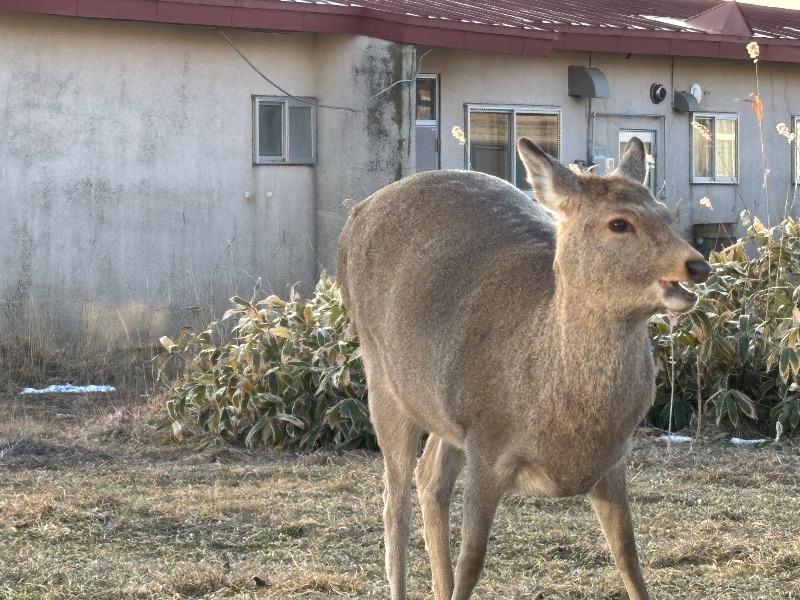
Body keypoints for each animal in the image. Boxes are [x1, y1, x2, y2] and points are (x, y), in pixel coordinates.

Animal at [334, 137, 708, 600]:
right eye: (619, 223)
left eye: (665, 213)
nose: (698, 265)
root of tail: (357, 211)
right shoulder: (487, 442)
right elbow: (472, 561)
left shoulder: (615, 457)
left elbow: (628, 557)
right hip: (381, 376)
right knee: (395, 502)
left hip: (443, 412)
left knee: (430, 477)